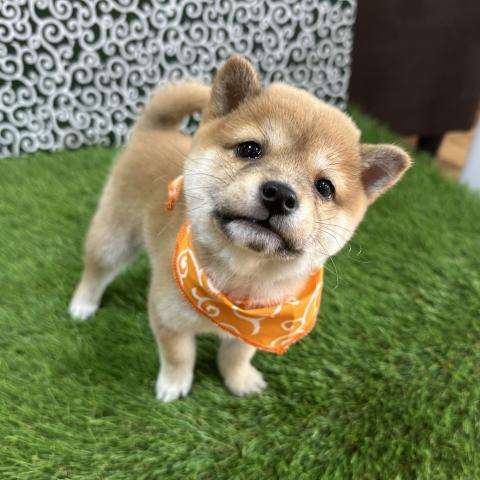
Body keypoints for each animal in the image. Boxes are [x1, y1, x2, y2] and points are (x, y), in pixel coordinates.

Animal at [69, 56, 411, 402]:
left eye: (325, 187)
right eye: (250, 149)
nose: (280, 194)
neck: (241, 282)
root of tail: (153, 132)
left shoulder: (250, 334)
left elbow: (235, 356)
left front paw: (240, 380)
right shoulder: (168, 317)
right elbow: (178, 356)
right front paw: (174, 384)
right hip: (114, 236)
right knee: (96, 269)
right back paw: (83, 304)